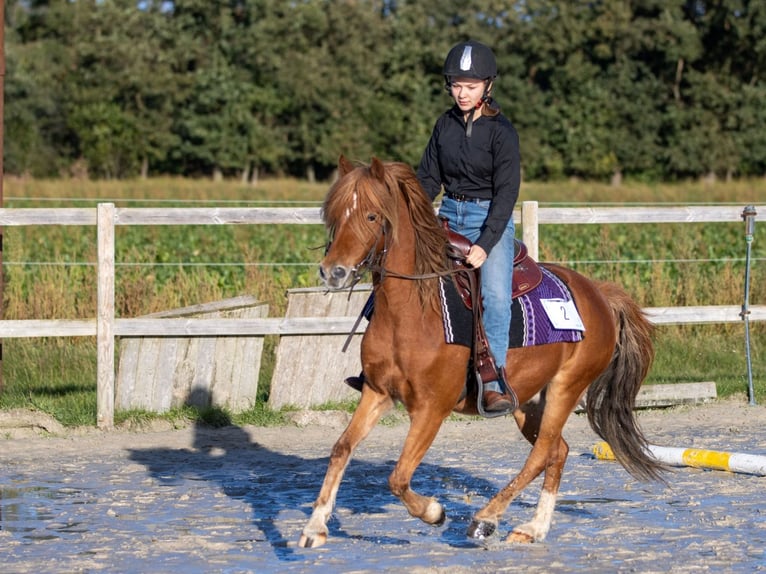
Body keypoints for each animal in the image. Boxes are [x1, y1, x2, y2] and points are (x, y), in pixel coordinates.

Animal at [300, 156, 664, 548]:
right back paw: (534, 528)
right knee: (557, 451)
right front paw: (314, 527)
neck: (412, 311)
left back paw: (487, 519)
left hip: (566, 388)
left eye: (370, 216)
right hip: (526, 401)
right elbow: (341, 449)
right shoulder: (377, 392)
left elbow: (398, 477)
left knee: (541, 453)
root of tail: (598, 293)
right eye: (334, 215)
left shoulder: (431, 409)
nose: (332, 272)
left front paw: (434, 512)